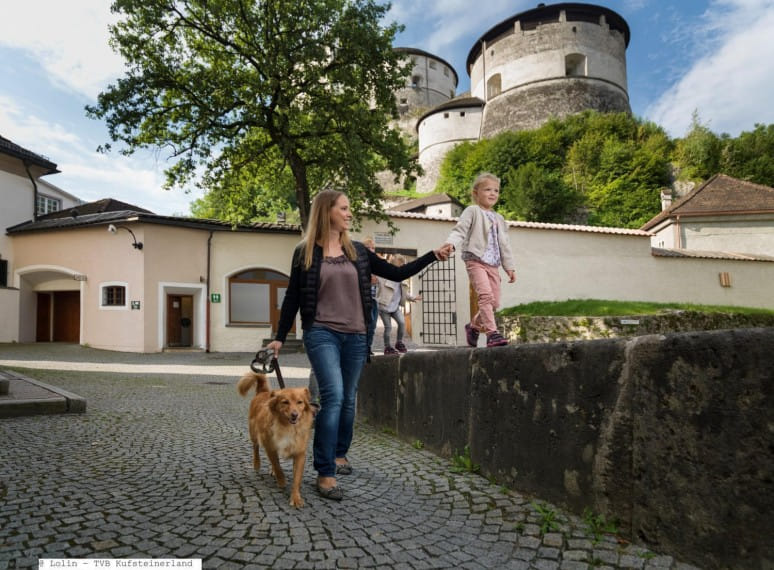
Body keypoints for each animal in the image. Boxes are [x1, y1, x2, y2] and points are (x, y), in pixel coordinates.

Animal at [239, 368, 318, 506]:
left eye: (300, 402)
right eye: (285, 402)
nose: (294, 415)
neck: (288, 427)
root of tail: (263, 392)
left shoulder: (299, 452)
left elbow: (296, 478)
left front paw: (295, 498)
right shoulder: (270, 447)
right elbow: (277, 465)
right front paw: (281, 480)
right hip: (253, 433)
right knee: (256, 448)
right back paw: (257, 464)